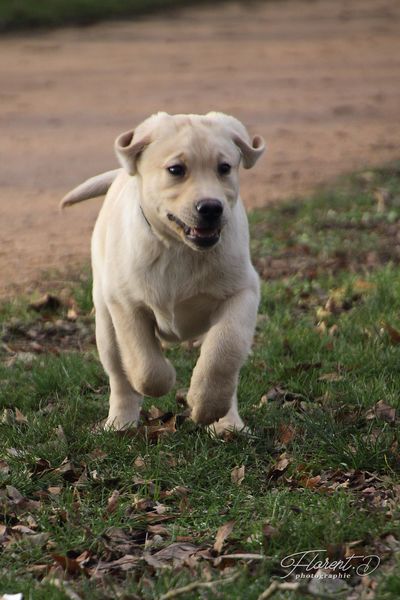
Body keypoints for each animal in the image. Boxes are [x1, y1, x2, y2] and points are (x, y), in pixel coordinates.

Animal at [61, 110, 264, 434]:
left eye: (224, 168)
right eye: (175, 170)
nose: (211, 207)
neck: (178, 248)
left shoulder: (243, 291)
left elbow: (224, 351)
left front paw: (206, 405)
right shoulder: (125, 303)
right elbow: (145, 366)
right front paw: (166, 378)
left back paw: (227, 423)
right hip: (105, 323)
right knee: (119, 375)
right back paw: (120, 422)